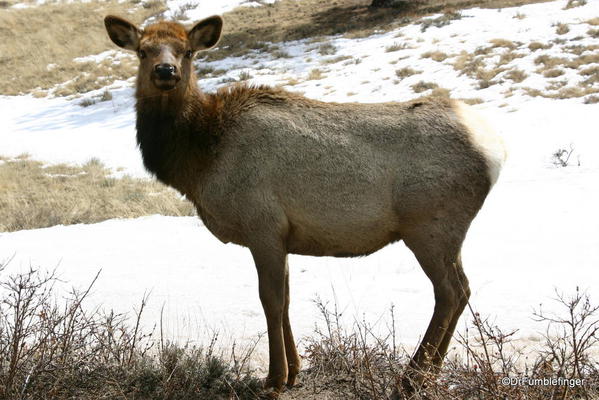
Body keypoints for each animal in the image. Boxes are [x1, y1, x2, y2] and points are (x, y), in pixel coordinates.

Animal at [106, 14, 506, 398]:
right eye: (143, 51)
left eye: (186, 51)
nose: (165, 71)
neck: (201, 160)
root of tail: (495, 149)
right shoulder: (284, 235)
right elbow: (285, 299)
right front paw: (295, 370)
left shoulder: (262, 224)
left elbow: (270, 299)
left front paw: (274, 378)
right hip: (443, 231)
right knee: (462, 290)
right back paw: (426, 376)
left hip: (430, 224)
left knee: (450, 292)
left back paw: (410, 379)